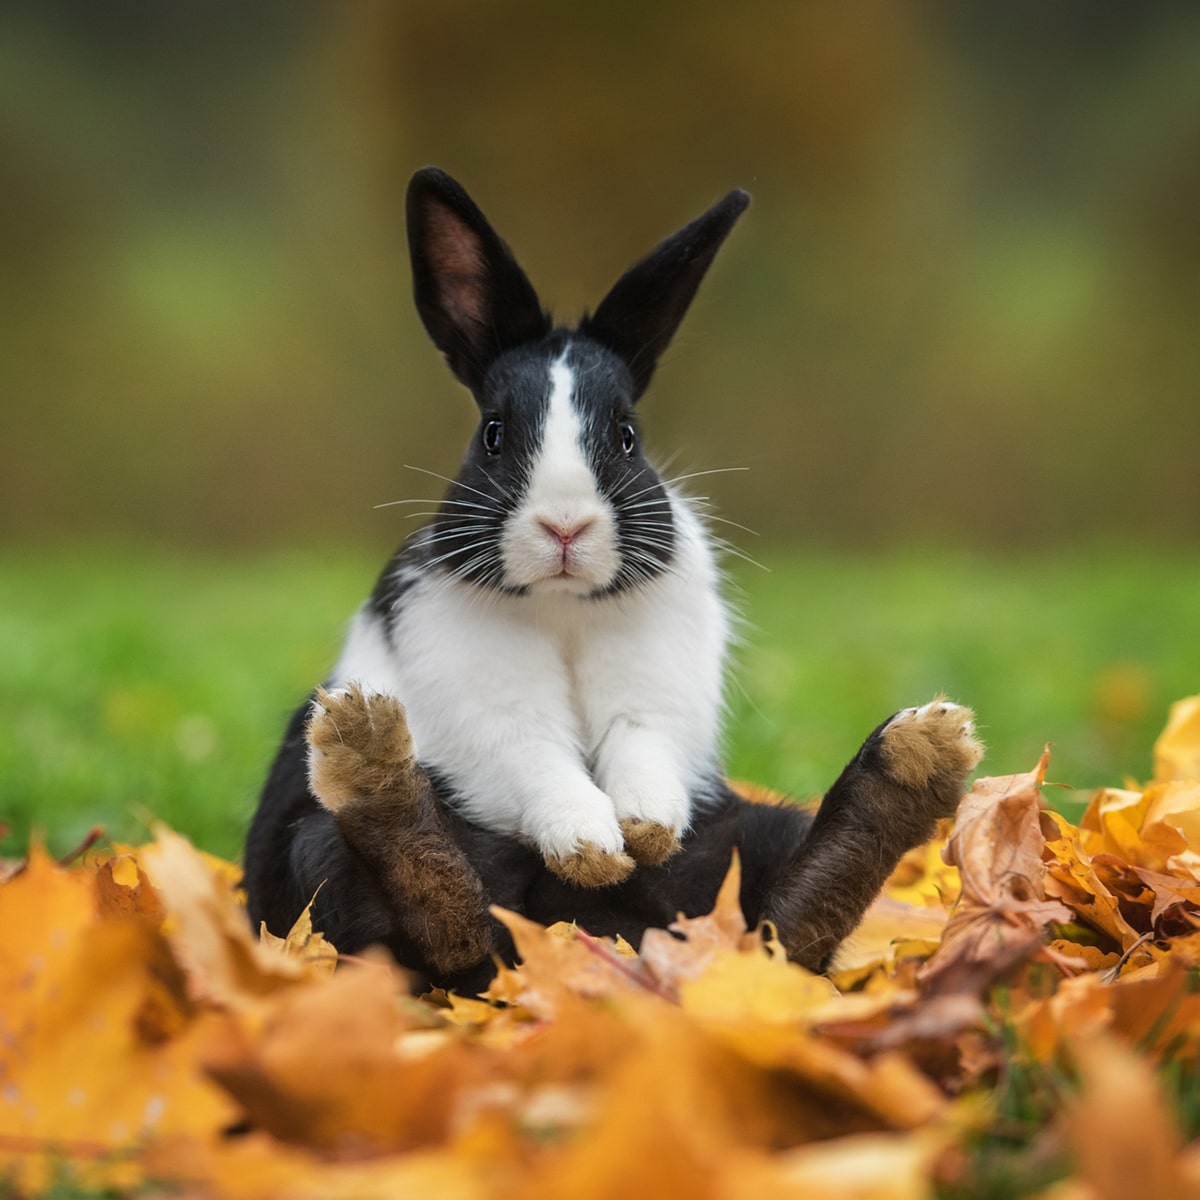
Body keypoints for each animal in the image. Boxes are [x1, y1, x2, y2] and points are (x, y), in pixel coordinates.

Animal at [243, 171, 984, 993]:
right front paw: (593, 849)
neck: (565, 607)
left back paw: (915, 760)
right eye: (493, 434)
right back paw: (369, 754)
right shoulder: (487, 705)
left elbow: (641, 745)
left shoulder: (654, 697)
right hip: (320, 852)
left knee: (785, 928)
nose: (565, 526)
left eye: (627, 436)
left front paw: (643, 831)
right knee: (444, 927)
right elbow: (537, 758)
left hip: (750, 835)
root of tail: (607, 938)